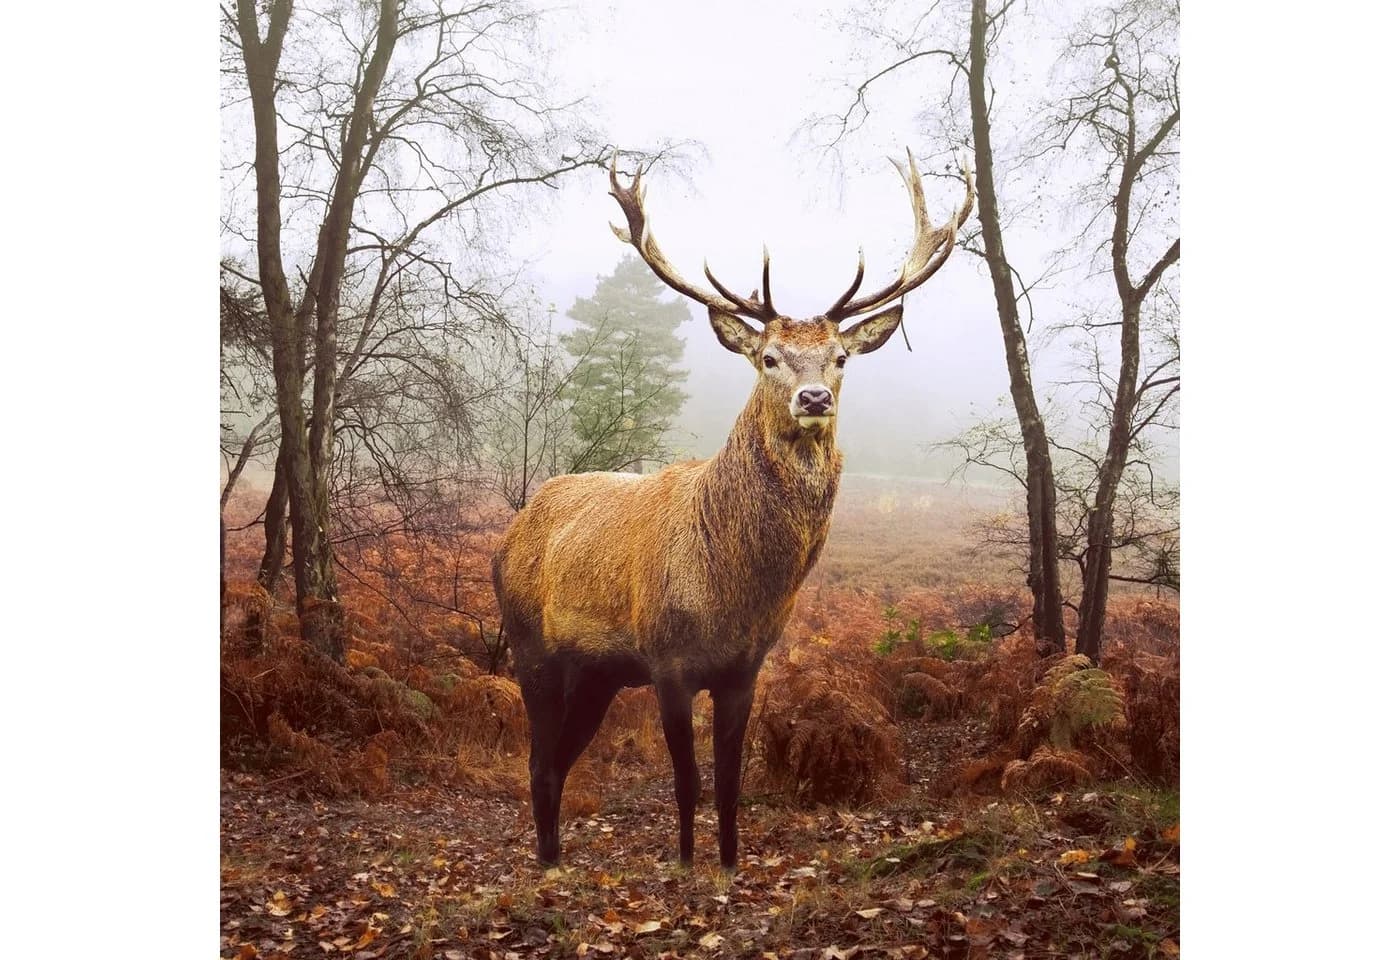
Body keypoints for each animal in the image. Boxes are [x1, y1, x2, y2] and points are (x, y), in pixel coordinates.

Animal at [493, 150, 974, 871]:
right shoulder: (667, 661)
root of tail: (511, 531)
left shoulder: (745, 668)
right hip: (532, 648)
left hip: (597, 674)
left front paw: (727, 863)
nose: (812, 398)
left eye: (839, 357)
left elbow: (728, 782)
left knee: (557, 760)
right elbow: (687, 782)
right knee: (538, 761)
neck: (732, 589)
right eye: (768, 356)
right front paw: (688, 864)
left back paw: (555, 858)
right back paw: (548, 866)